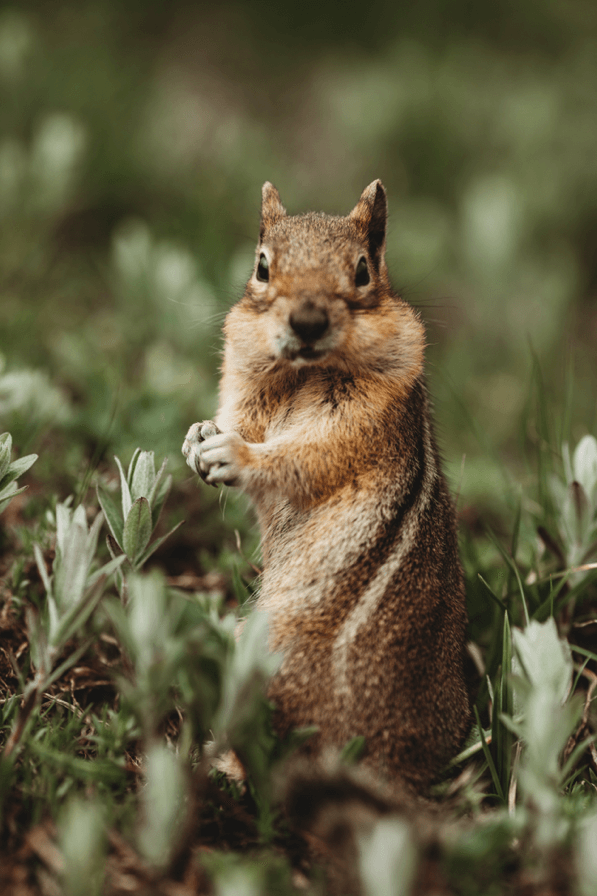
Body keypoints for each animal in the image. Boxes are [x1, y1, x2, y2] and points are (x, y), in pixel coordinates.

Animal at [182, 180, 470, 792]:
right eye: (262, 265)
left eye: (362, 270)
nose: (308, 321)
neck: (302, 373)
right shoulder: (246, 391)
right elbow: (239, 421)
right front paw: (200, 437)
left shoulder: (360, 424)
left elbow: (302, 457)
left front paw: (234, 454)